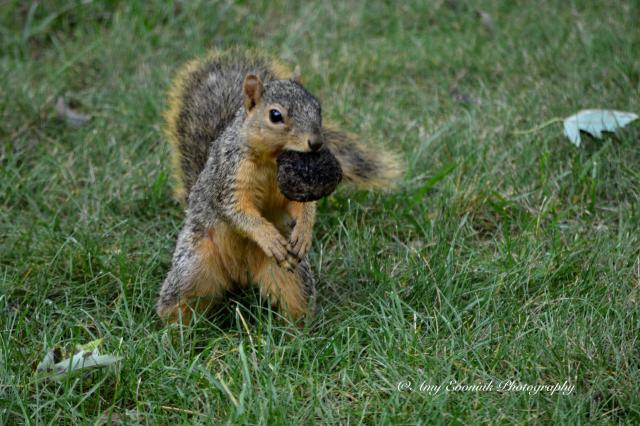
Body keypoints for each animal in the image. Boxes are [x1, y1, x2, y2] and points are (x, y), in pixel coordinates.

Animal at [156, 48, 400, 322]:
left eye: (318, 108)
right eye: (275, 115)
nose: (316, 143)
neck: (272, 160)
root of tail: (239, 277)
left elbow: (303, 206)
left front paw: (304, 231)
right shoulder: (230, 177)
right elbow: (236, 209)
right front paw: (268, 236)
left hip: (289, 275)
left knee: (295, 301)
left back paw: (301, 329)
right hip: (194, 267)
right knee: (180, 302)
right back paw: (175, 330)